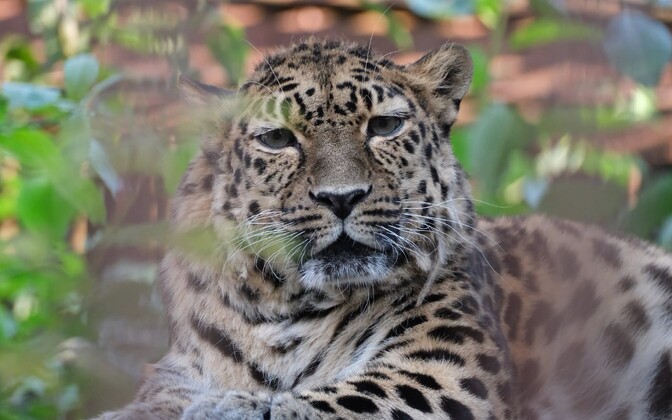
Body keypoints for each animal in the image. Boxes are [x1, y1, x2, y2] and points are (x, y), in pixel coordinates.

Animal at [96, 39, 672, 419]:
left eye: (385, 127)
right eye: (277, 138)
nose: (341, 197)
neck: (280, 315)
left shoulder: (444, 367)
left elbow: (345, 400)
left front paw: (231, 408)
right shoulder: (179, 369)